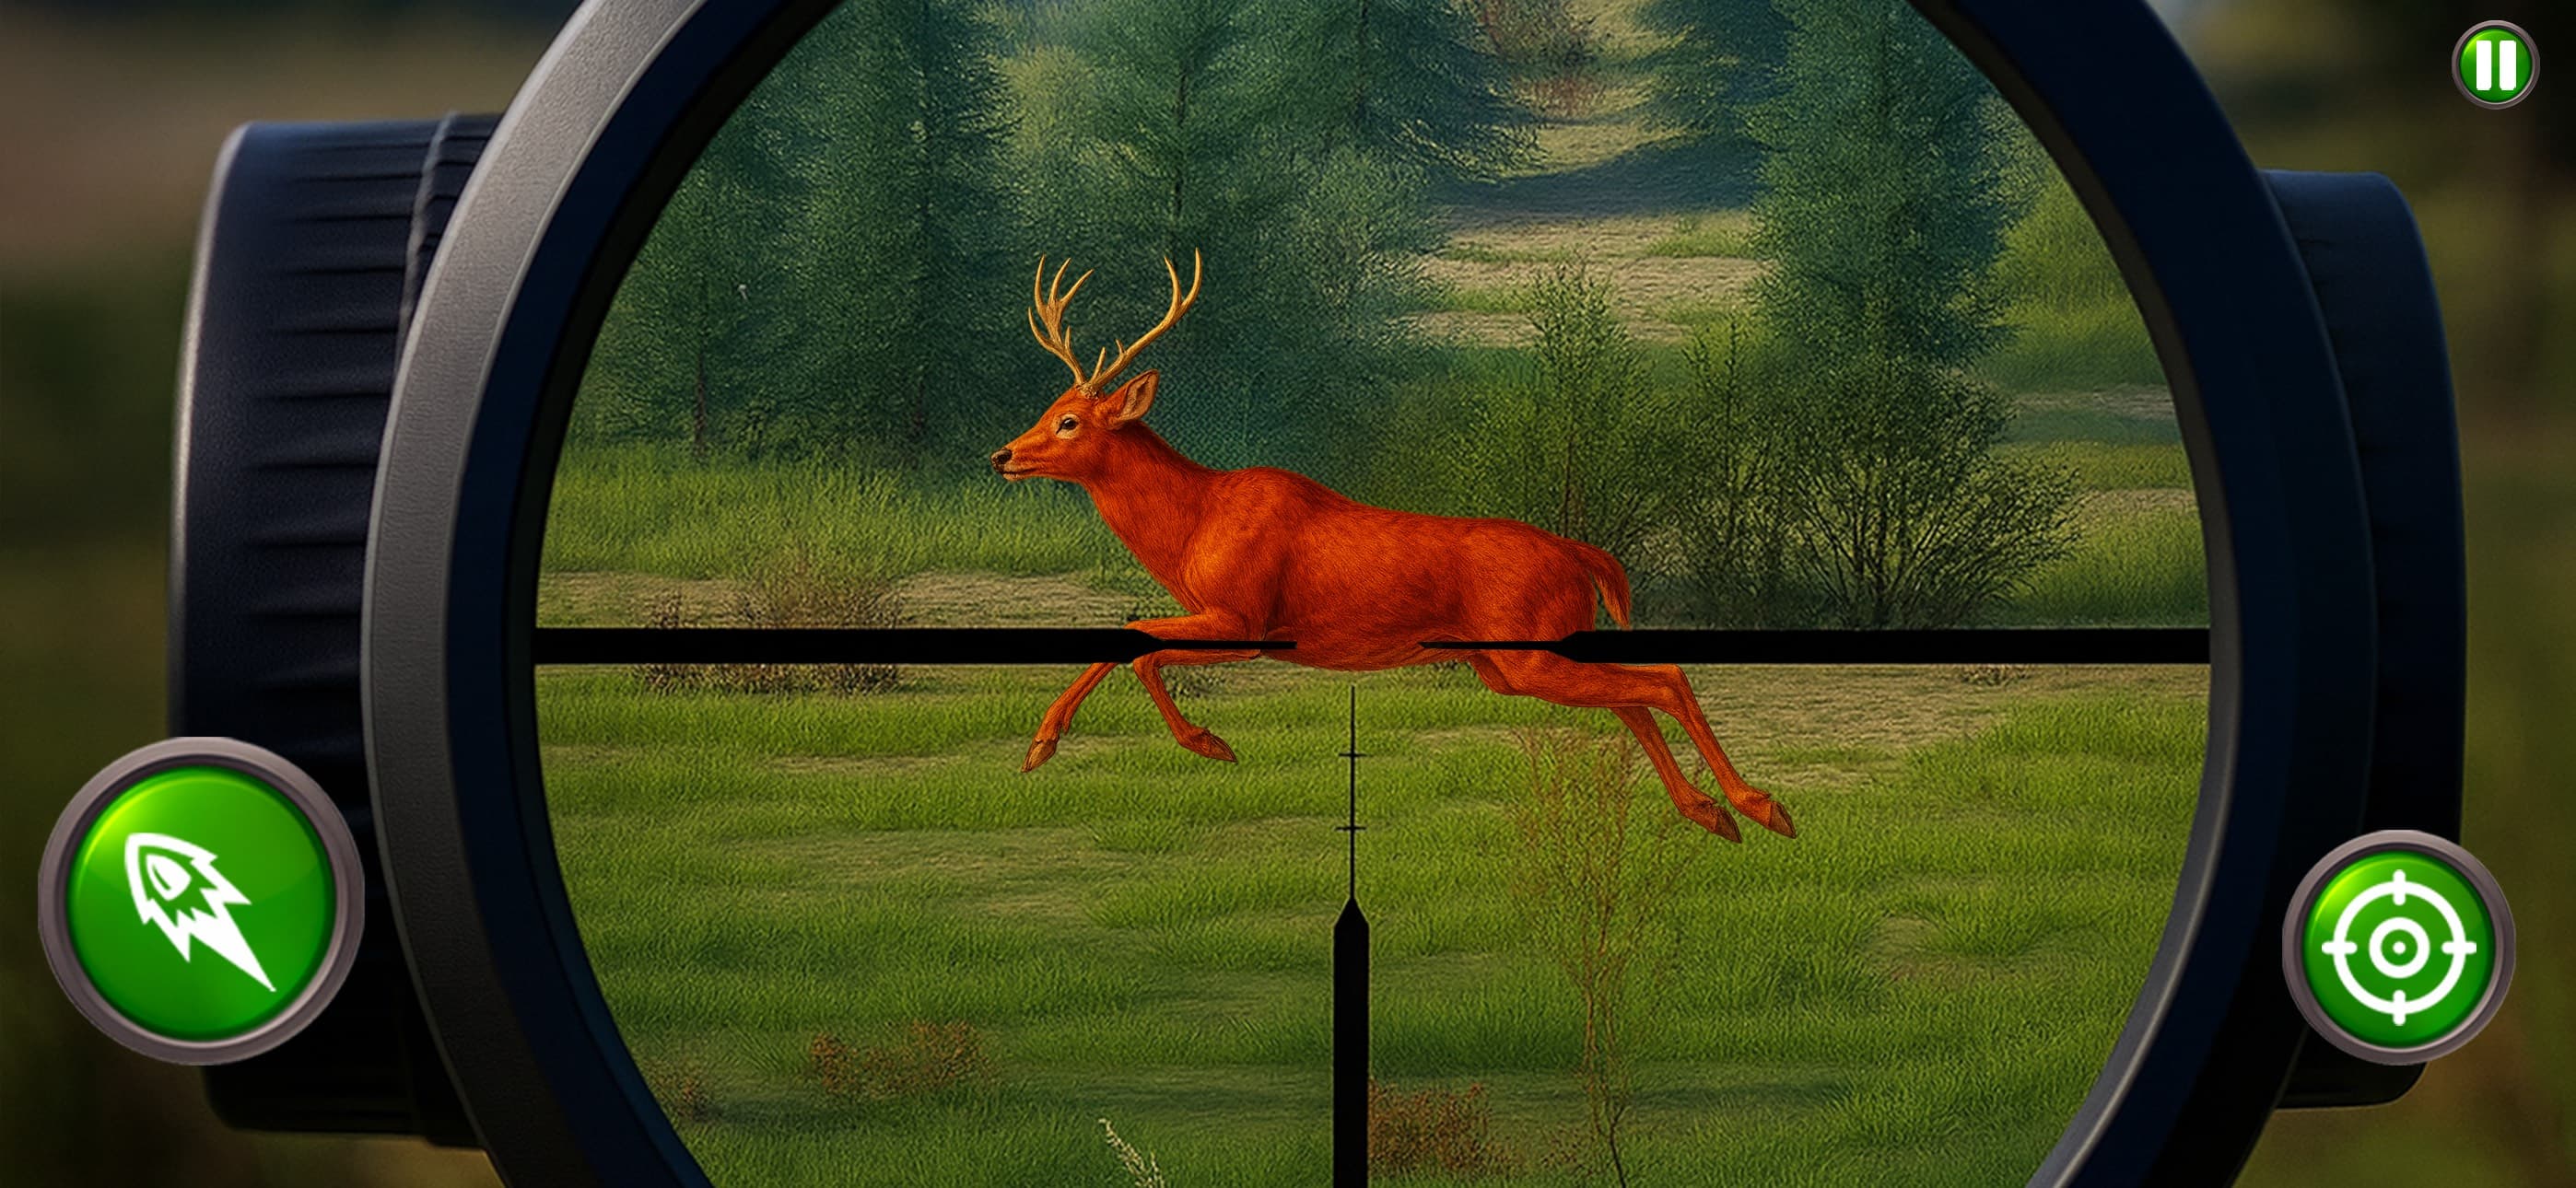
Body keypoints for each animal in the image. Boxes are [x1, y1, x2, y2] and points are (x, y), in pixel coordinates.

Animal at [988, 253, 1794, 842]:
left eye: (1068, 421)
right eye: (1047, 408)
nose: (1003, 455)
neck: (1192, 524)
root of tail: (1582, 556)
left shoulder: (1247, 621)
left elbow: (1134, 641)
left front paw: (1204, 743)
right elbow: (1129, 637)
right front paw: (1041, 746)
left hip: (1529, 651)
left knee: (1663, 678)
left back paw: (1763, 808)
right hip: (1518, 663)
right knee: (1636, 696)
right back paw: (1713, 815)